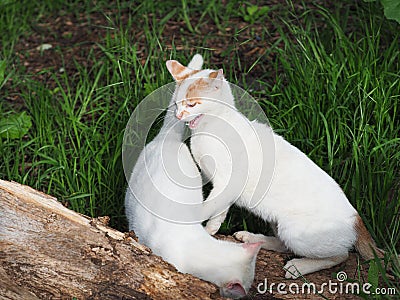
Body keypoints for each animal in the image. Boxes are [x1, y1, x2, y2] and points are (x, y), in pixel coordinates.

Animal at [165, 55, 384, 278]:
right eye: (176, 104)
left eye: (192, 104)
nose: (178, 116)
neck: (208, 130)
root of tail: (356, 217)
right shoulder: (225, 188)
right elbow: (219, 210)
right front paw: (211, 229)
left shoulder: (227, 182)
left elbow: (208, 206)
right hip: (277, 223)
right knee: (284, 244)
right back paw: (254, 238)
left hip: (295, 232)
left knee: (339, 256)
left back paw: (297, 266)